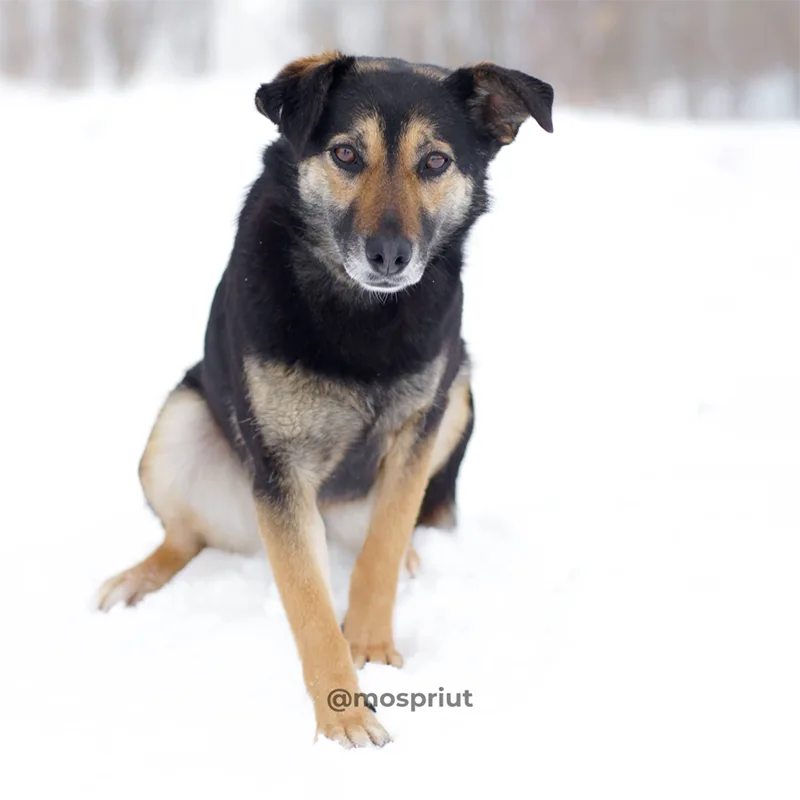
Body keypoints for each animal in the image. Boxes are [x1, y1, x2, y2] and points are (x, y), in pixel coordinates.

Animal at [97, 51, 552, 752]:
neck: (361, 314)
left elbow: (380, 553)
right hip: (176, 425)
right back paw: (135, 580)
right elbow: (309, 606)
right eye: (345, 153)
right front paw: (345, 717)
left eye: (434, 162)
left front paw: (371, 649)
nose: (389, 255)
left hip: (460, 387)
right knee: (185, 534)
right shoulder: (281, 473)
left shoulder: (418, 430)